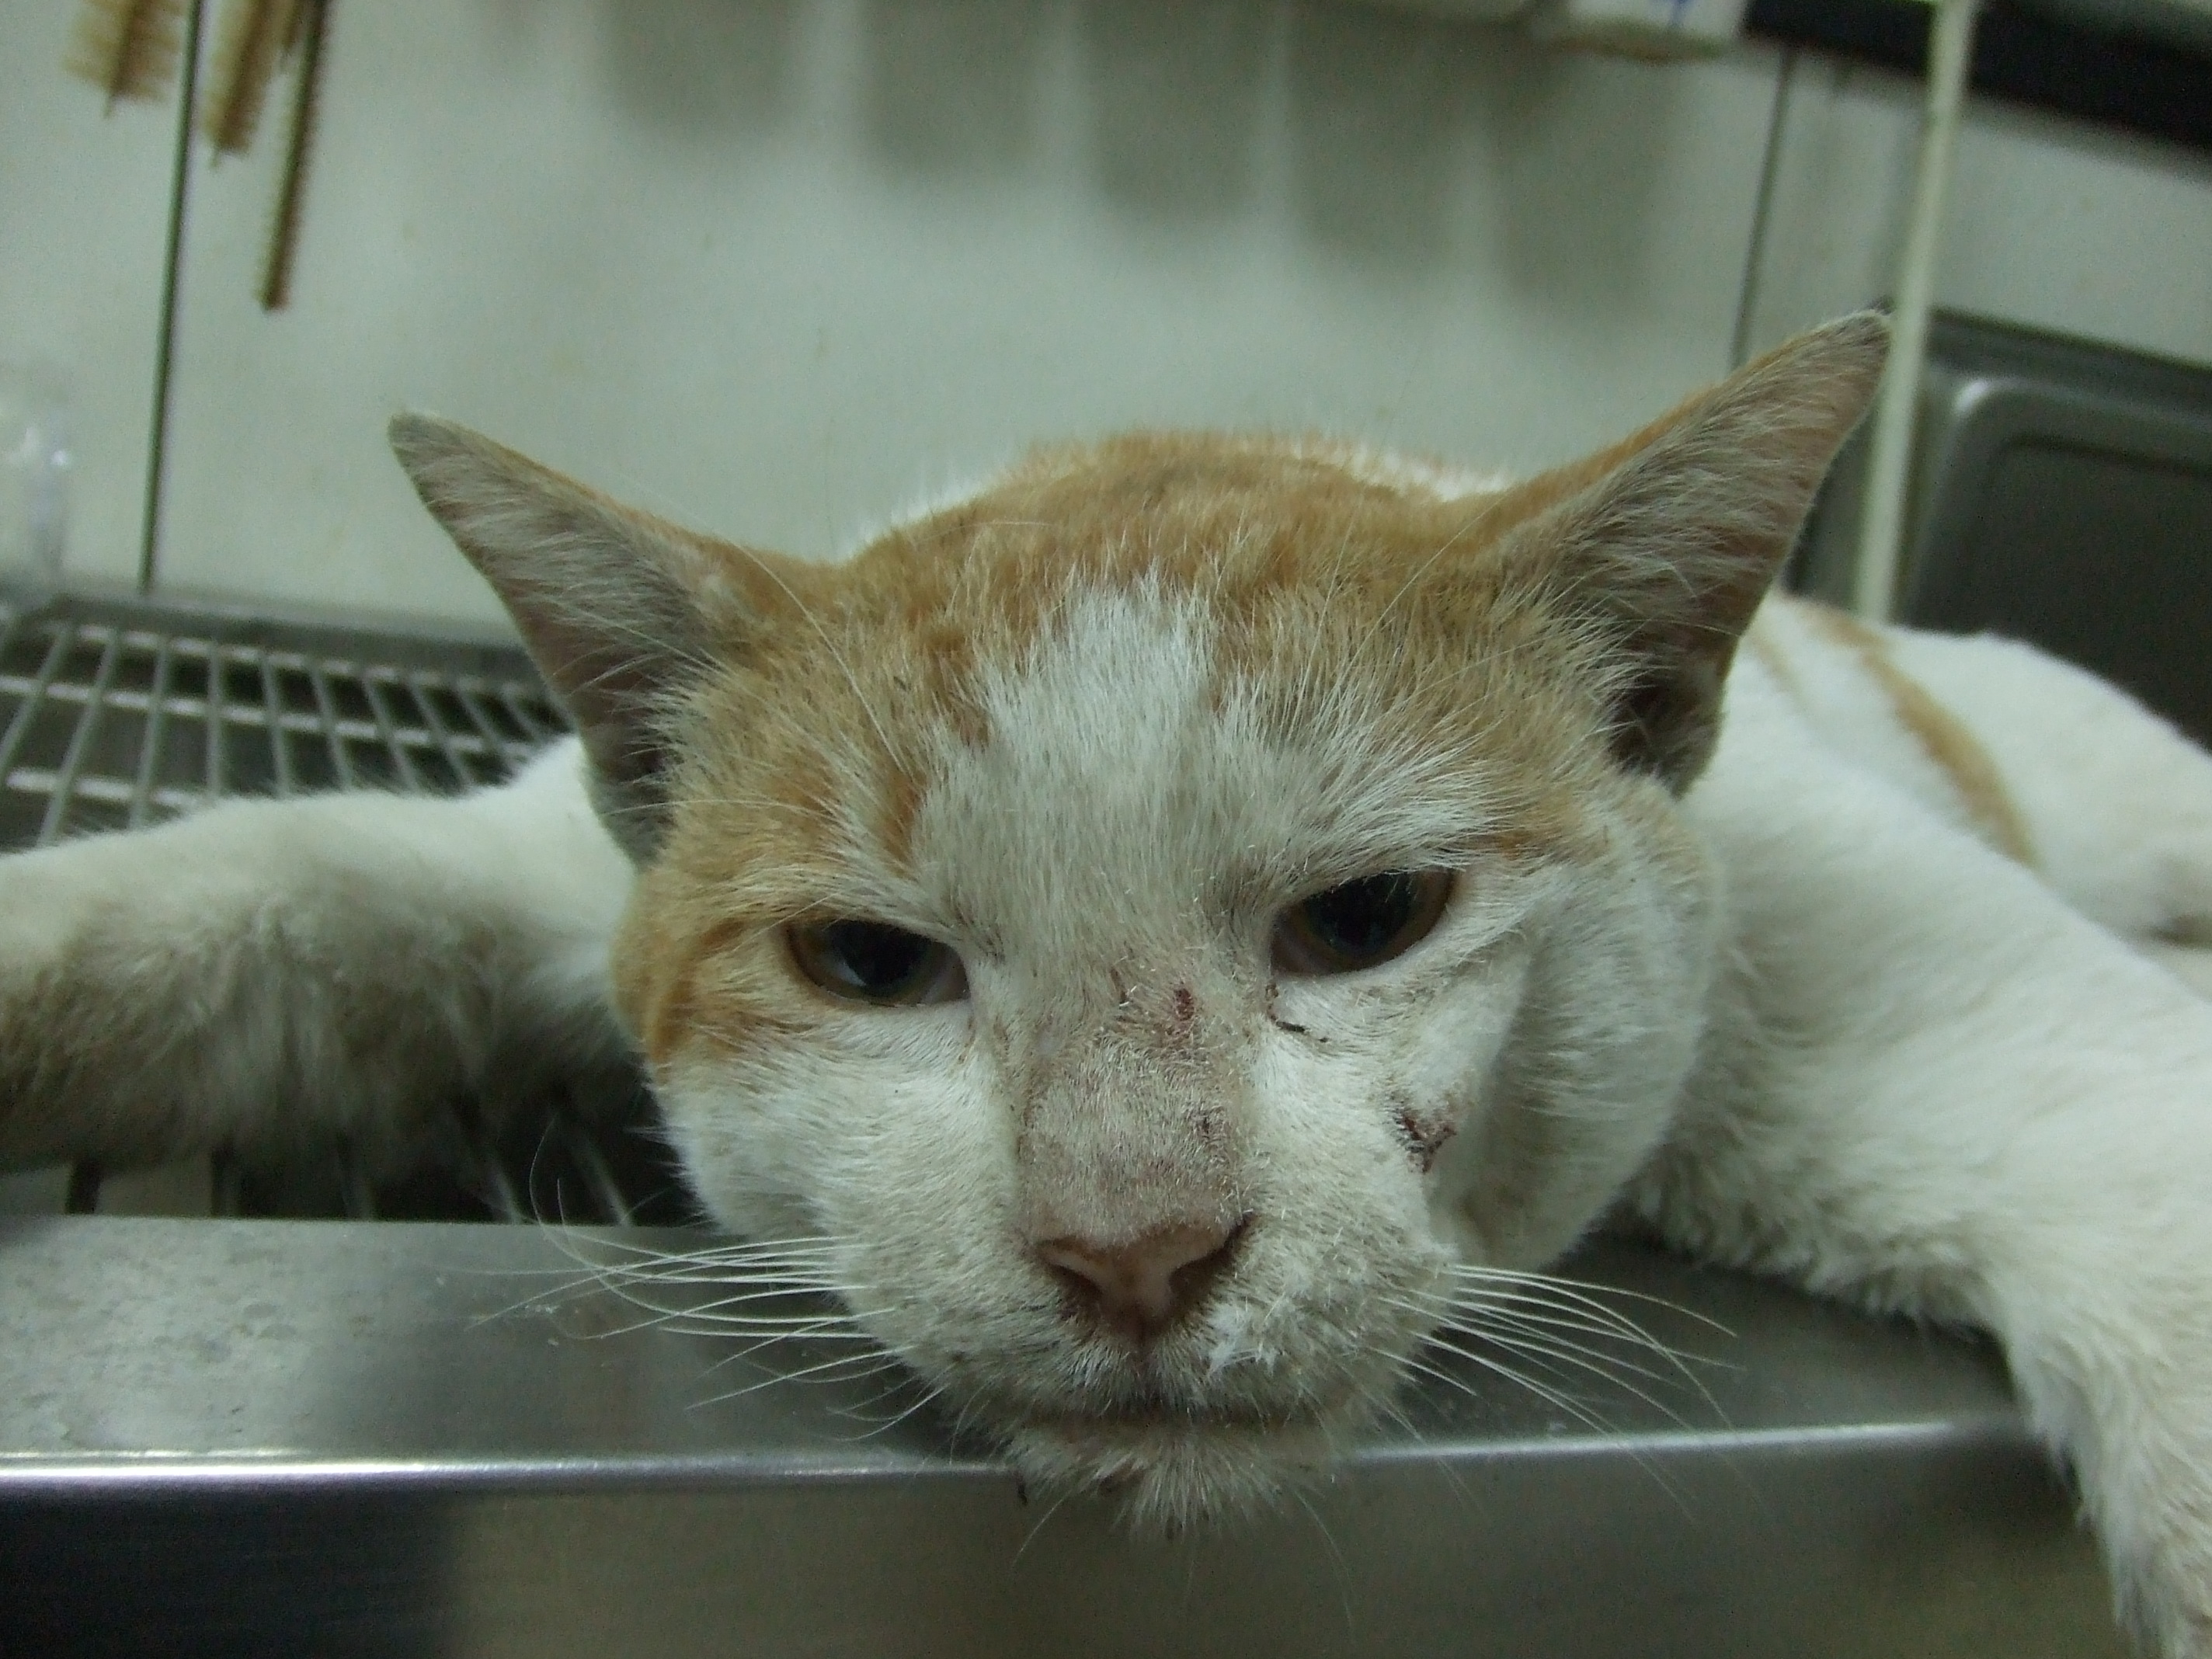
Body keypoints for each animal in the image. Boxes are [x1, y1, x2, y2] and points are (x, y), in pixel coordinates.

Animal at [2, 313, 2209, 1656]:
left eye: (1365, 918)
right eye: (869, 961)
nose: (1130, 1245)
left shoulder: (2013, 1049)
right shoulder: (527, 867)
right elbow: (263, 895)